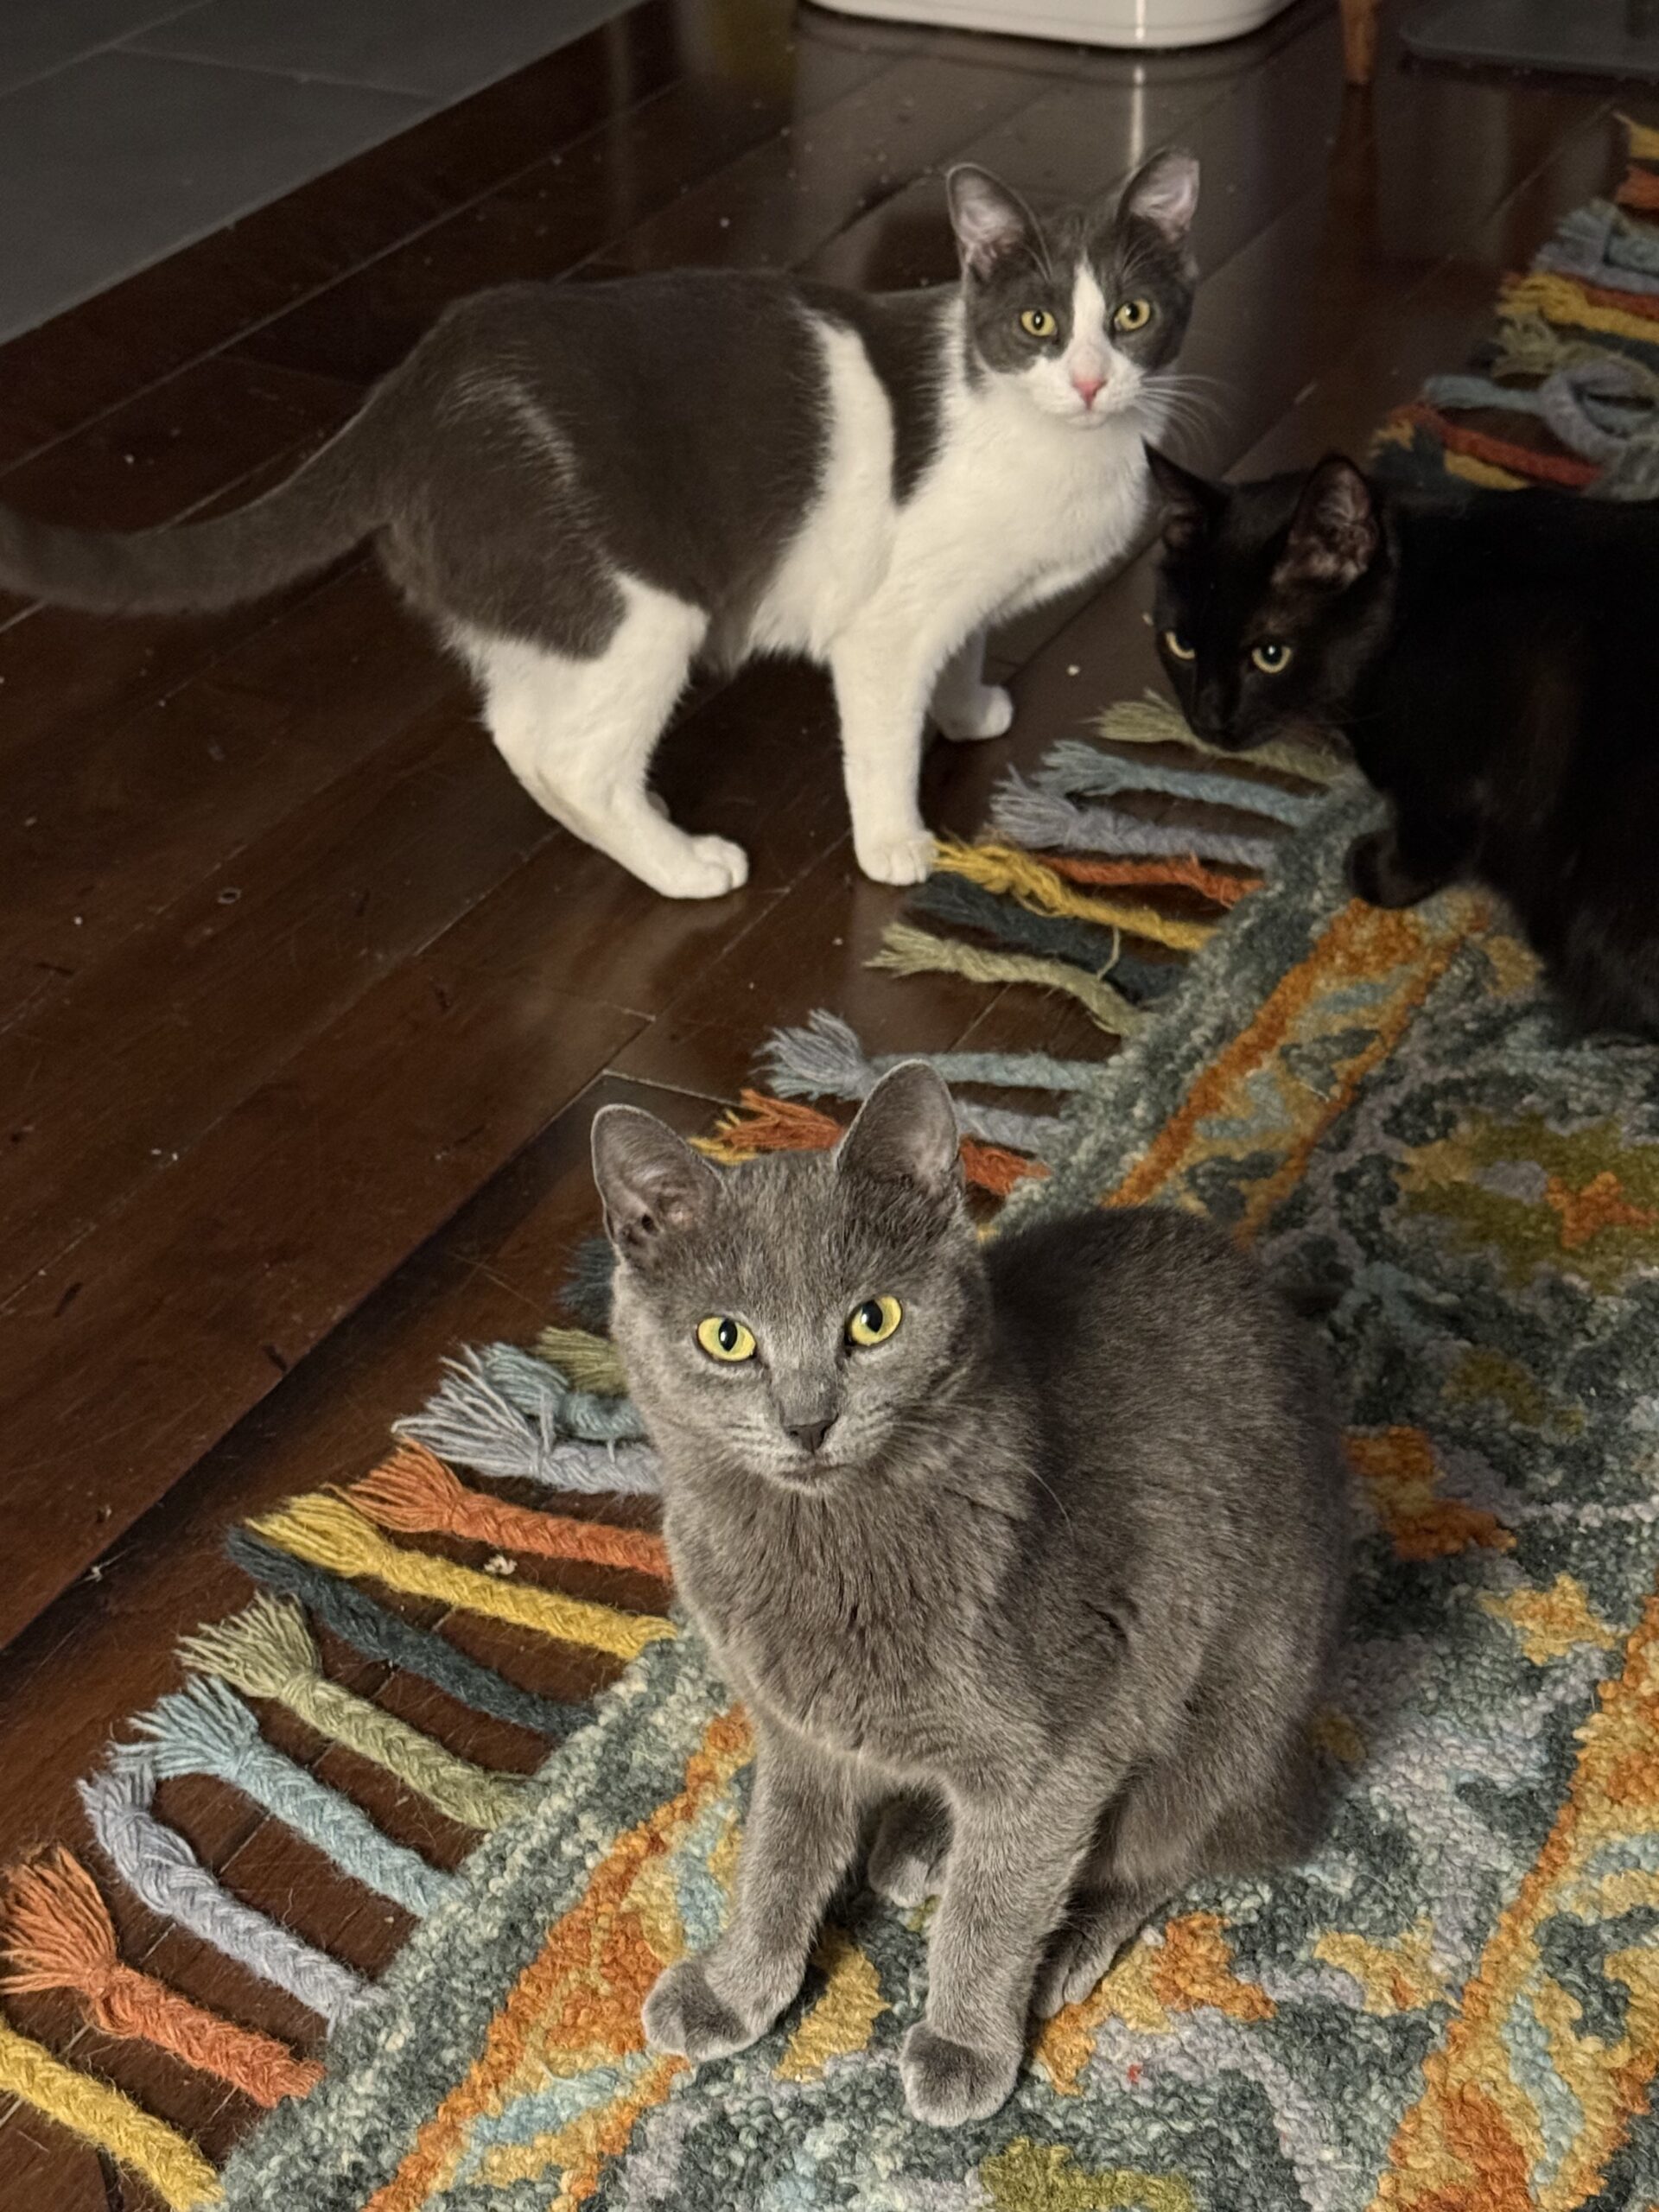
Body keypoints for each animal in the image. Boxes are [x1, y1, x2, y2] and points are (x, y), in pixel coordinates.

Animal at [0, 155, 1200, 903]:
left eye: (1131, 316)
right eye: (1038, 323)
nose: (1091, 380)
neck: (1058, 446)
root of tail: (410, 390)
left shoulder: (959, 598)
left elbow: (964, 648)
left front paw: (967, 708)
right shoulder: (885, 626)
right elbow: (881, 734)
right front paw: (895, 841)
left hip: (557, 607)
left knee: (517, 729)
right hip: (644, 607)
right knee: (567, 756)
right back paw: (683, 863)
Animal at [591, 1062, 1349, 2127]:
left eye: (873, 1319)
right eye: (725, 1337)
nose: (808, 1421)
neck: (820, 1551)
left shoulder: (1064, 1744)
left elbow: (992, 1913)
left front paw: (963, 2044)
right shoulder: (793, 1728)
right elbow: (774, 1859)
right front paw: (738, 1989)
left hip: (1230, 1703)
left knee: (1179, 1849)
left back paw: (1065, 1939)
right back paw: (917, 1841)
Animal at [1146, 445, 1659, 1036]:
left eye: (1271, 655)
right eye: (1181, 645)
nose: (1207, 718)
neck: (1416, 603)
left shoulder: (1495, 727)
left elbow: (1429, 833)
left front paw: (1372, 867)